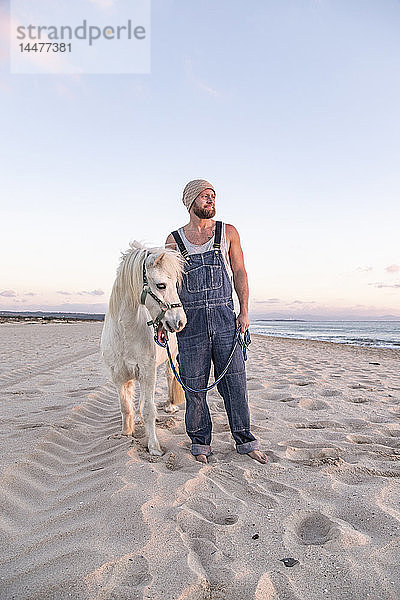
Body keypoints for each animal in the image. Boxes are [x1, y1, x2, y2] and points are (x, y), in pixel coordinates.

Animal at [100, 241, 188, 458]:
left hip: (167, 362)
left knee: (169, 379)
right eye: (161, 285)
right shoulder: (119, 376)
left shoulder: (148, 372)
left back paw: (170, 407)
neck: (125, 330)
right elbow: (125, 407)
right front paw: (126, 433)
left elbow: (149, 409)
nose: (180, 322)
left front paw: (154, 447)